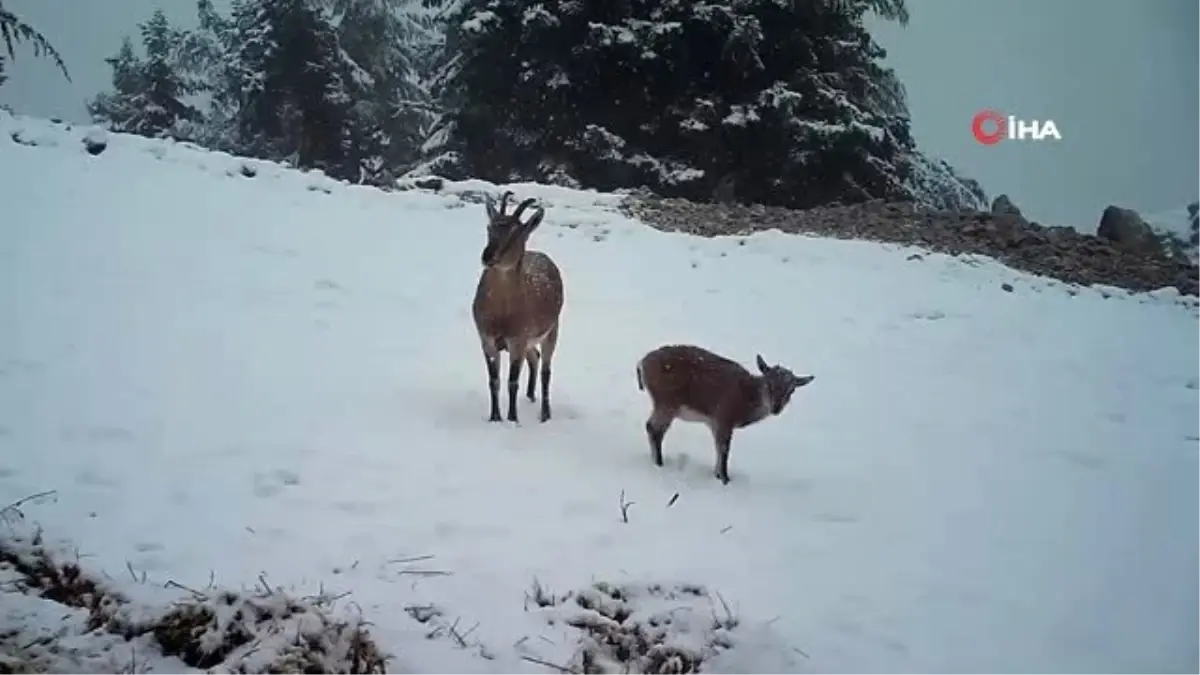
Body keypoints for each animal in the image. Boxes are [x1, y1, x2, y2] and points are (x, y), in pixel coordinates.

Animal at [470, 189, 564, 420]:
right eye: (489, 227)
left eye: (516, 233)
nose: (488, 256)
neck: (502, 316)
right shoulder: (486, 338)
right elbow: (493, 380)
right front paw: (495, 417)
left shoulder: (518, 339)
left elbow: (512, 382)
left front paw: (512, 418)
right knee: (535, 357)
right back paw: (530, 395)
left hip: (552, 329)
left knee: (546, 370)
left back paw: (545, 413)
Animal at [633, 343, 811, 480]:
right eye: (769, 384)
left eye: (791, 390)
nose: (776, 408)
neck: (746, 401)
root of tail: (641, 364)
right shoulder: (723, 416)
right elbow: (724, 449)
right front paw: (725, 479)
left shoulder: (714, 422)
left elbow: (719, 448)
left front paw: (718, 474)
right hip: (667, 401)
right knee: (654, 428)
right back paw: (659, 463)